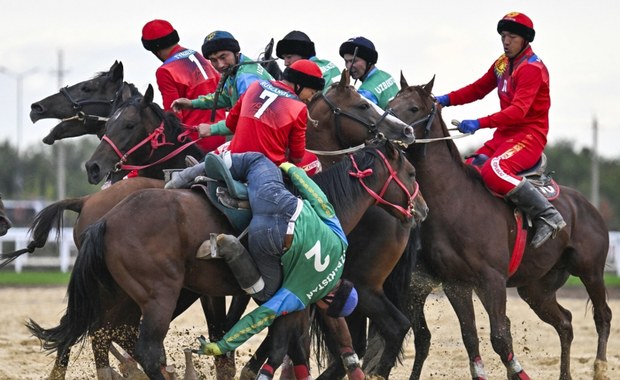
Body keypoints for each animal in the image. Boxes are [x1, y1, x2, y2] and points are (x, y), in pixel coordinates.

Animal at [388, 74, 612, 380]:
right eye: (391, 103)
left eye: (413, 108)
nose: (383, 130)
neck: (457, 200)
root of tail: (588, 207)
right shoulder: (456, 284)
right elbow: (470, 337)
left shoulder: (491, 280)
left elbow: (499, 337)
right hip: (536, 289)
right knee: (565, 322)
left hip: (590, 271)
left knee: (603, 316)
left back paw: (600, 367)